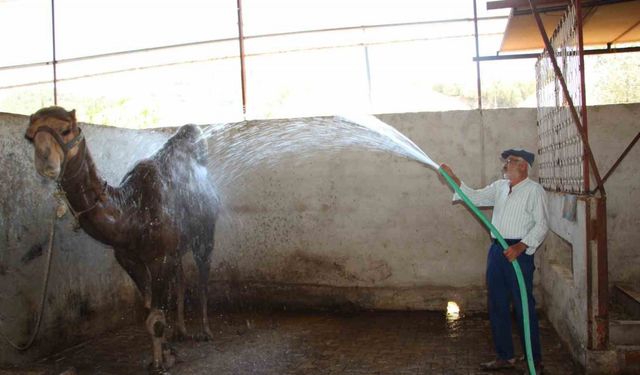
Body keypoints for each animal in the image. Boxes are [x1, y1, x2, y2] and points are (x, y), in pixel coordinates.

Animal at [25, 106, 219, 375]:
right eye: (30, 136)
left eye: (66, 129)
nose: (45, 161)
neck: (131, 213)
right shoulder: (129, 259)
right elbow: (150, 309)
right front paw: (168, 351)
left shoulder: (160, 258)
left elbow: (156, 318)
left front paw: (159, 363)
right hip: (180, 246)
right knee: (181, 278)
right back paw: (182, 331)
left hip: (205, 232)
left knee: (202, 276)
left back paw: (205, 331)